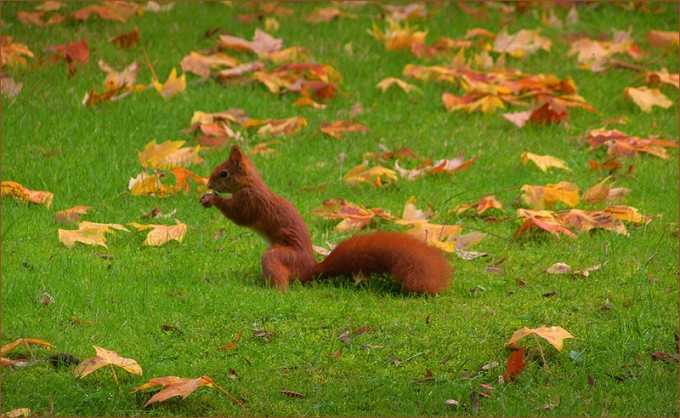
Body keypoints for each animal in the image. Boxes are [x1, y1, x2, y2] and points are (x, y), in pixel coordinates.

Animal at [199, 145, 452, 294]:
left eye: (223, 173)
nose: (209, 184)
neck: (249, 183)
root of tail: (309, 269)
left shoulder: (250, 202)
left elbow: (239, 216)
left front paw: (212, 199)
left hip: (279, 257)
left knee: (281, 278)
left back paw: (271, 291)